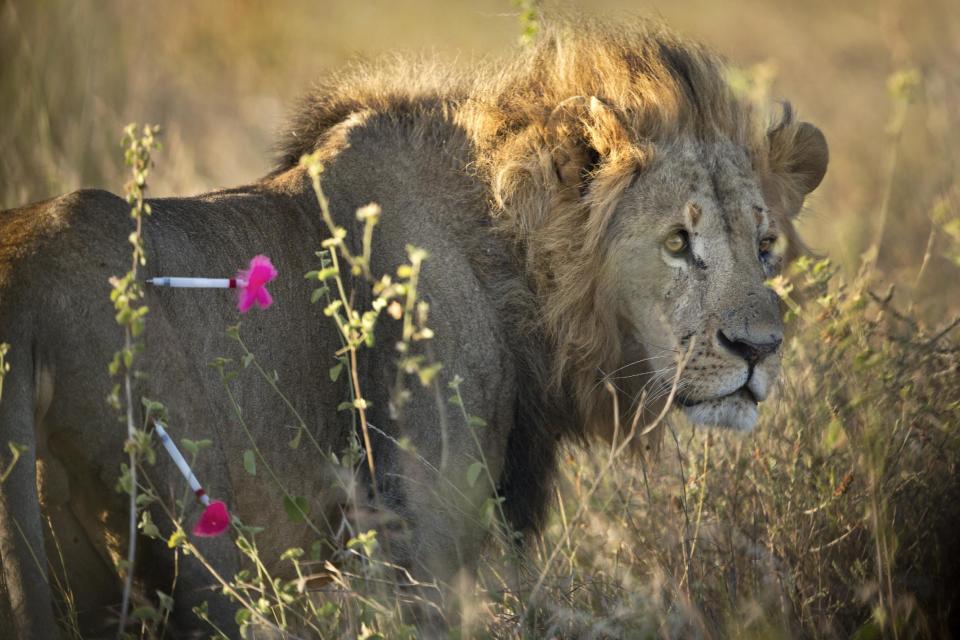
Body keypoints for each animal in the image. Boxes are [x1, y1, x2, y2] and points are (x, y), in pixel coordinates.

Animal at [0, 20, 824, 640]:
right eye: (678, 243)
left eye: (765, 246)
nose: (758, 350)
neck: (522, 269)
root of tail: (23, 299)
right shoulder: (423, 537)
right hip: (196, 533)